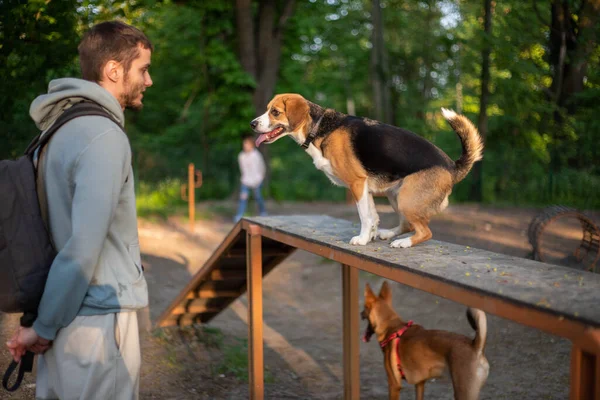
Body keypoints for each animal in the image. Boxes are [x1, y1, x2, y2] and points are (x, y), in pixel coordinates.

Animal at [360, 282, 488, 400]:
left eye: (364, 308)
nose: (360, 314)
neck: (391, 325)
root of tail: (475, 346)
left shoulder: (394, 385)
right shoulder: (420, 383)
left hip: (463, 393)